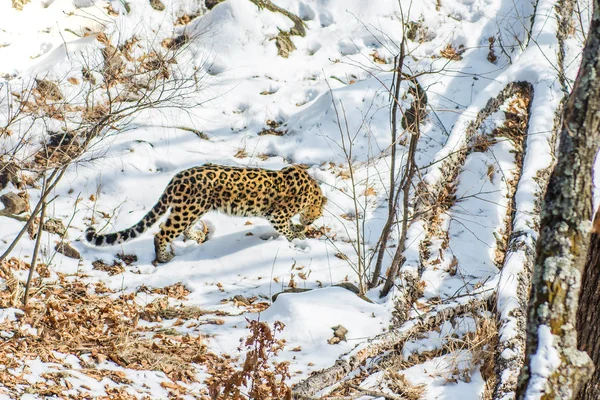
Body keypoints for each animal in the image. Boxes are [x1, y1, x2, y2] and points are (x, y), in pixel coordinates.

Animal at [85, 164, 324, 264]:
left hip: (193, 208)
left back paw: (198, 236)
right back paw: (163, 257)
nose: (311, 221)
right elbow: (287, 228)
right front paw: (298, 236)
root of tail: (176, 179)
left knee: (179, 228)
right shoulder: (277, 214)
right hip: (189, 209)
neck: (313, 192)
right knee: (161, 233)